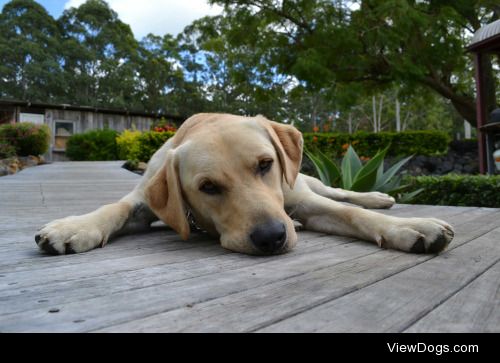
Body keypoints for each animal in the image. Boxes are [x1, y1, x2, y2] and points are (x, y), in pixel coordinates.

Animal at [37, 114, 456, 256]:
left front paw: (408, 227)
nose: (272, 237)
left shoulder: (302, 202)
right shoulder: (144, 199)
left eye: (266, 165)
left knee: (340, 192)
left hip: (307, 181)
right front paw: (75, 226)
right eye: (208, 187)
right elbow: (117, 207)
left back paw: (379, 196)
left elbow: (350, 213)